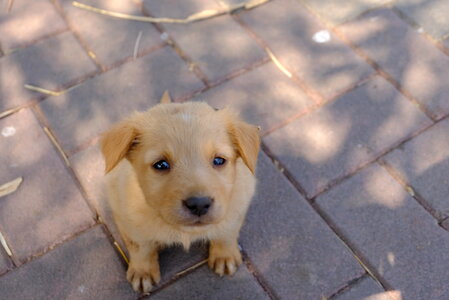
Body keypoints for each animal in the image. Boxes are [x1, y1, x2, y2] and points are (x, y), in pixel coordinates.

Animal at [98, 92, 260, 292]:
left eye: (219, 160)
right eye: (161, 165)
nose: (199, 204)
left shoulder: (237, 206)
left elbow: (227, 232)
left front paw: (225, 255)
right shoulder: (127, 220)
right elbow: (140, 247)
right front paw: (142, 271)